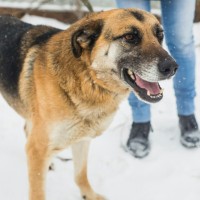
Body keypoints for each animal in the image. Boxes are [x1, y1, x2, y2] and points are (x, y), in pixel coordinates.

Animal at [0, 9, 178, 200]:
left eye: (159, 35)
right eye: (130, 36)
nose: (172, 68)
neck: (88, 78)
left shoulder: (82, 139)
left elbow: (80, 174)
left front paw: (89, 195)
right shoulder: (38, 149)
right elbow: (38, 191)